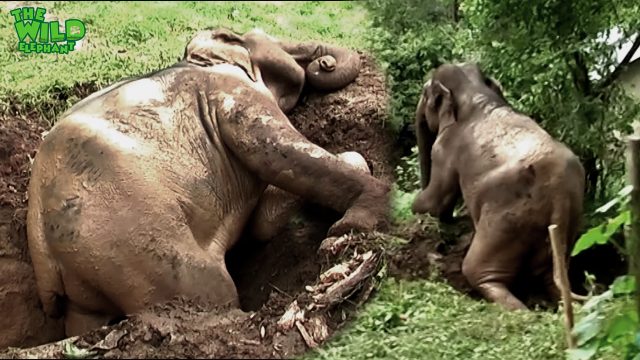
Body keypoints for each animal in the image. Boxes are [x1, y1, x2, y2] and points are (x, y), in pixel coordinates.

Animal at [27, 28, 390, 338]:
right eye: (267, 37)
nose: (324, 62)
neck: (201, 60)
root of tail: (42, 245)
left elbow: (262, 223)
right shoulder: (232, 96)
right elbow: (276, 150)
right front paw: (353, 222)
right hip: (134, 243)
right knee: (211, 292)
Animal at [410, 62, 584, 310]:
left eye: (426, 95)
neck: (477, 94)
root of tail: (560, 195)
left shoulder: (444, 148)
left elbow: (437, 199)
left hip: (505, 222)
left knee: (478, 271)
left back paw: (519, 310)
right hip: (565, 228)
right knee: (550, 279)